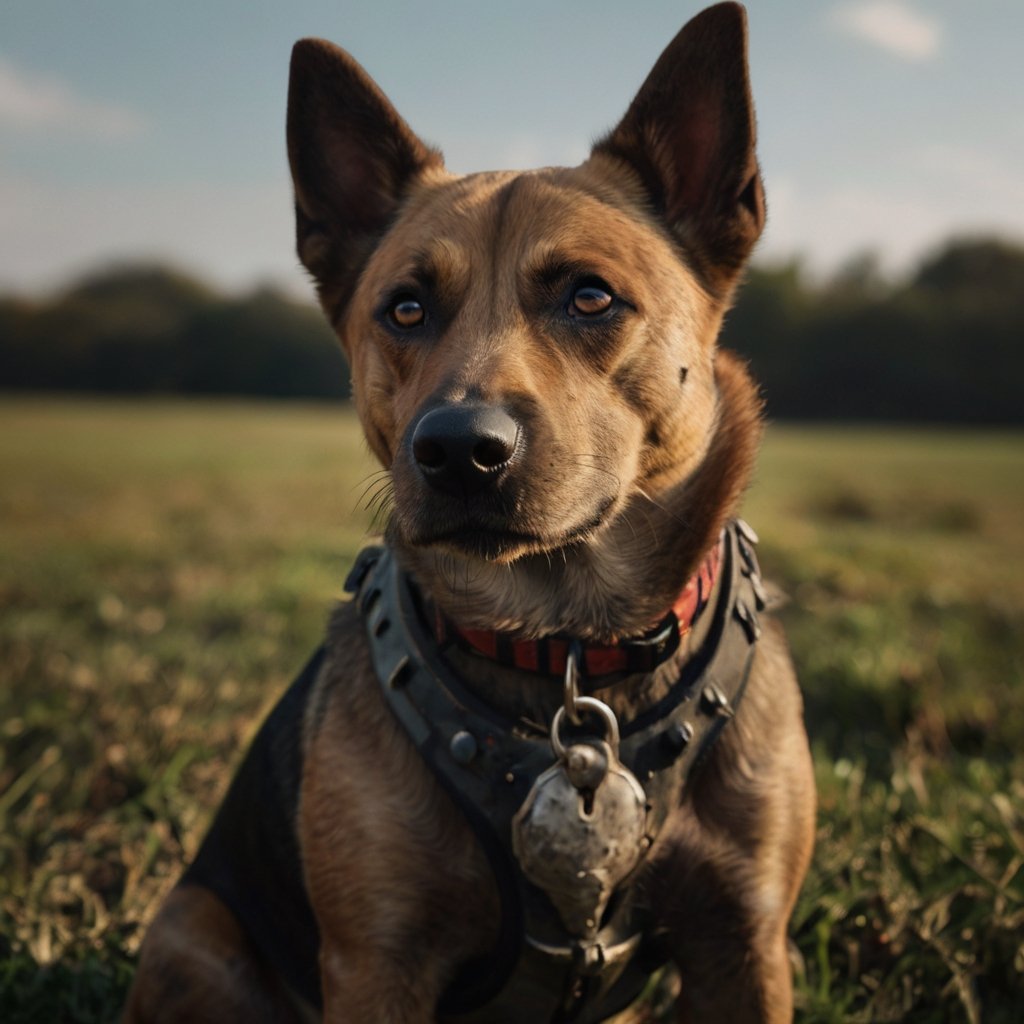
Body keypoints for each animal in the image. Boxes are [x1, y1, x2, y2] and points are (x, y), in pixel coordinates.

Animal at [125, 4, 815, 1019]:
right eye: (405, 309)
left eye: (590, 296)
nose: (457, 450)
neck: (567, 646)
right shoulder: (378, 962)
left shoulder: (743, 945)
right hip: (192, 934)